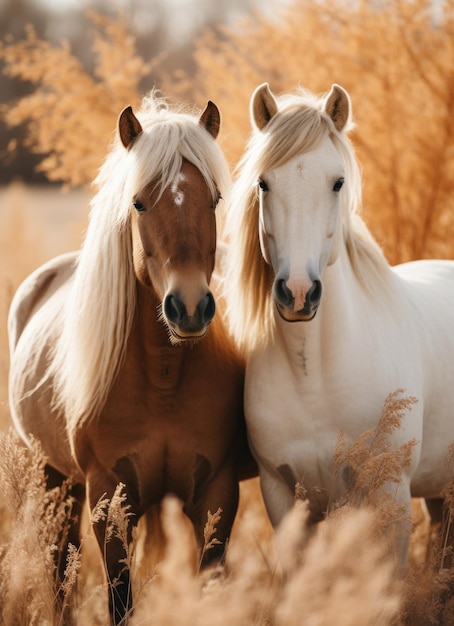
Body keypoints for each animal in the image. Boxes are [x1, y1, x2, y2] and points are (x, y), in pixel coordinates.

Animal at [7, 90, 254, 620]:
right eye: (138, 202)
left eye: (215, 200)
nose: (189, 307)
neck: (163, 376)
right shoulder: (109, 496)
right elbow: (119, 599)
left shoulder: (216, 497)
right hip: (56, 479)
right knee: (60, 567)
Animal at [224, 80, 454, 564]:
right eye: (263, 183)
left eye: (337, 182)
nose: (297, 292)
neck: (315, 380)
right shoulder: (283, 497)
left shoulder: (389, 494)